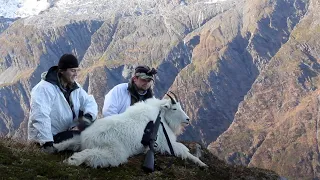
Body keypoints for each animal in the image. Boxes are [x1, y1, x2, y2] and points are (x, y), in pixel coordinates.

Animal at [53, 94, 206, 169]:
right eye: (174, 108)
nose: (187, 119)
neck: (160, 116)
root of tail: (88, 138)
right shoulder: (165, 143)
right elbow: (183, 151)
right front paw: (202, 164)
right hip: (114, 151)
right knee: (91, 155)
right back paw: (72, 160)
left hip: (81, 141)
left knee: (71, 142)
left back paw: (56, 147)